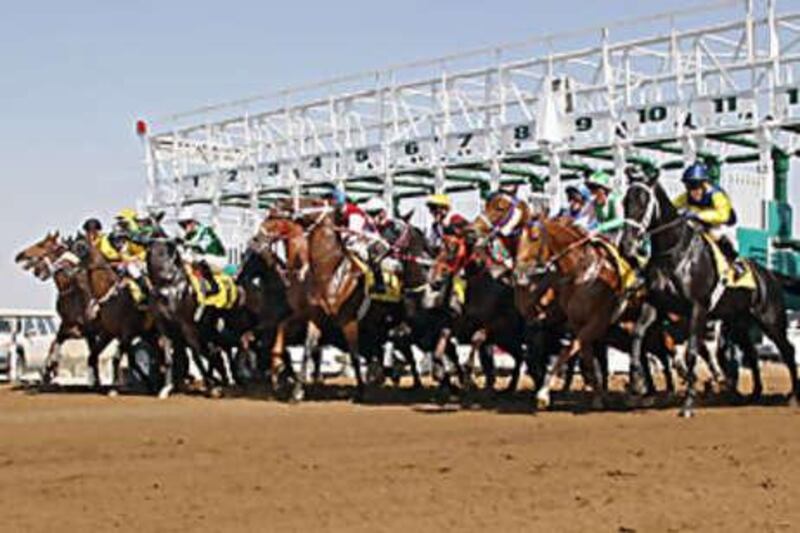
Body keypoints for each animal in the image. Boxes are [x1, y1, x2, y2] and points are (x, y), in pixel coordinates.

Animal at [620, 175, 800, 416]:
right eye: (625, 202)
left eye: (643, 202)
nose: (626, 245)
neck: (674, 254)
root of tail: (770, 275)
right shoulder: (655, 304)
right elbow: (638, 336)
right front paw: (636, 379)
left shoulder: (698, 308)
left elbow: (691, 352)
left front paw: (688, 403)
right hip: (738, 322)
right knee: (751, 352)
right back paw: (754, 393)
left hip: (771, 320)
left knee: (788, 350)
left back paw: (793, 396)